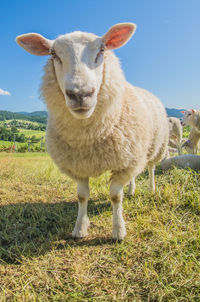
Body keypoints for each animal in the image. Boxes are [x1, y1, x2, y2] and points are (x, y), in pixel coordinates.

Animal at [16, 23, 169, 241]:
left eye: (102, 50)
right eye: (53, 54)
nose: (80, 94)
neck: (89, 138)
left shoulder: (123, 164)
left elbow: (115, 196)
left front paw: (118, 231)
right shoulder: (78, 165)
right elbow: (82, 196)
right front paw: (80, 229)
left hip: (153, 149)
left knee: (150, 168)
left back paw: (151, 188)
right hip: (133, 153)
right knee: (134, 175)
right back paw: (132, 190)